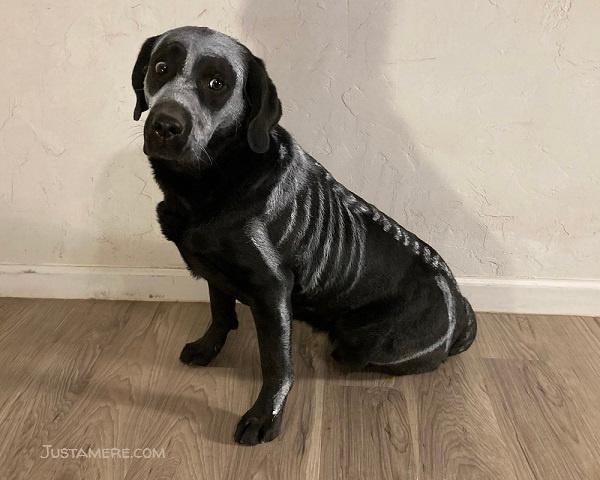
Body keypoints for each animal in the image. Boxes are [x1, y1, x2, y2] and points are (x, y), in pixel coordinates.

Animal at [132, 27, 478, 446]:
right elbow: (220, 313)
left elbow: (276, 363)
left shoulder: (272, 289)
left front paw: (265, 416)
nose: (166, 125)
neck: (211, 179)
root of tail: (459, 304)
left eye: (217, 83)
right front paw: (207, 348)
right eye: (160, 68)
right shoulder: (216, 271)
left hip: (367, 343)